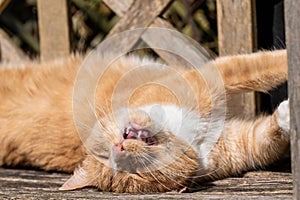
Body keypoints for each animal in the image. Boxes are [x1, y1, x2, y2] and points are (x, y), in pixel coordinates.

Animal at [0, 48, 290, 192]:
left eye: (104, 155)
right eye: (130, 172)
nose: (120, 147)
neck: (186, 133)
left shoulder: (208, 78)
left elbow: (260, 66)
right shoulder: (244, 144)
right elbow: (266, 137)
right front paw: (286, 116)